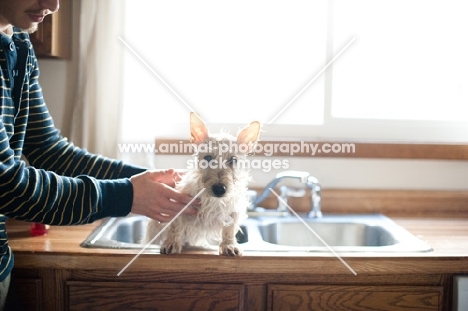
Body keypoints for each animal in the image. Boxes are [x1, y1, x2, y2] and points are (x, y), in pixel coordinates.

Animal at [146, 112, 262, 256]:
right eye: (208, 158)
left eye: (233, 160)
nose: (219, 189)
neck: (213, 201)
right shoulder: (179, 207)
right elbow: (175, 227)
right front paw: (171, 243)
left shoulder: (233, 211)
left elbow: (229, 229)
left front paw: (229, 245)